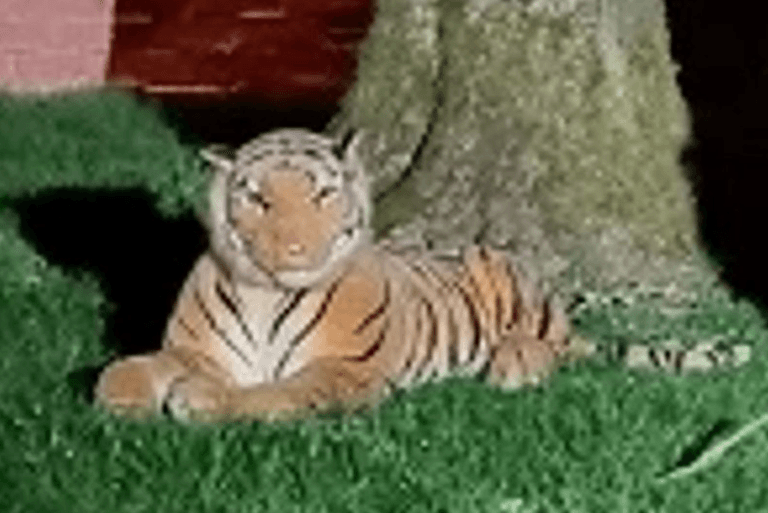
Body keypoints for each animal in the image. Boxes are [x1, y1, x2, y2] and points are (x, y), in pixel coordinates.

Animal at [93, 128, 751, 423]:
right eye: (257, 198)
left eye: (323, 193)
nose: (293, 247)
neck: (265, 293)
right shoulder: (194, 350)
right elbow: (130, 367)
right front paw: (121, 395)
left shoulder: (346, 372)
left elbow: (277, 393)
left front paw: (201, 399)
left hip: (508, 278)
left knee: (556, 351)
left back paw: (513, 364)